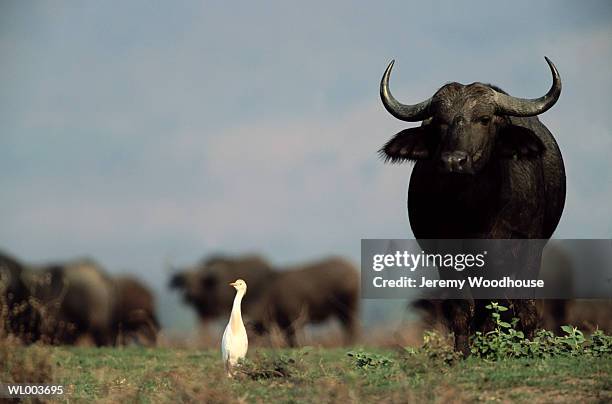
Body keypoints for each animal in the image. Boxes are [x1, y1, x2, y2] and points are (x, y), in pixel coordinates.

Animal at [380, 56, 568, 354]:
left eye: (484, 119)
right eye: (440, 122)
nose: (453, 161)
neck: (476, 210)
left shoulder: (526, 246)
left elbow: (523, 305)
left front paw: (527, 347)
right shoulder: (447, 252)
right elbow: (461, 307)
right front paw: (463, 352)